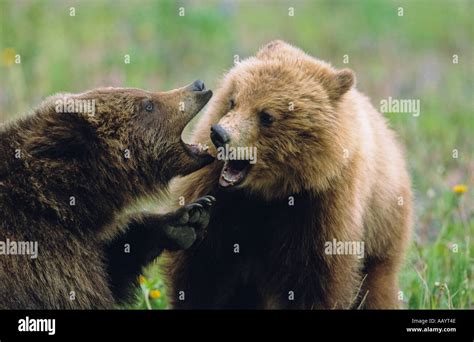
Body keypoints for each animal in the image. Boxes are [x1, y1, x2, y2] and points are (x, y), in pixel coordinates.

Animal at [166, 41, 412, 308]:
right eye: (233, 101)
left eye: (266, 116)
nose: (219, 134)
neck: (270, 193)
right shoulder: (220, 196)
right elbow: (203, 267)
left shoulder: (320, 207)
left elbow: (313, 281)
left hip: (382, 234)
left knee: (376, 288)